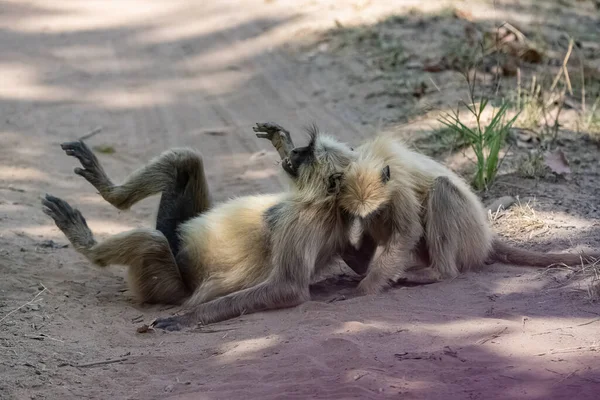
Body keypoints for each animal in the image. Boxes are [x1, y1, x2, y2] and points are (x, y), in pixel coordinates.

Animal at [338, 134, 600, 294]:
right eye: (363, 215)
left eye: (377, 209)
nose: (372, 217)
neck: (371, 158)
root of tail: (486, 237)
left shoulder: (397, 187)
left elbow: (407, 232)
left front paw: (367, 287)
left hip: (469, 237)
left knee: (441, 189)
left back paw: (439, 273)